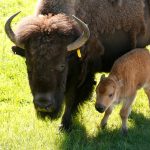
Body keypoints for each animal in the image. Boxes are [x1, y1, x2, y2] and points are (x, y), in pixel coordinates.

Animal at [4, 0, 150, 130]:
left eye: (62, 65)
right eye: (28, 64)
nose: (43, 105)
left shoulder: (81, 73)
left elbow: (71, 97)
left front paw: (64, 125)